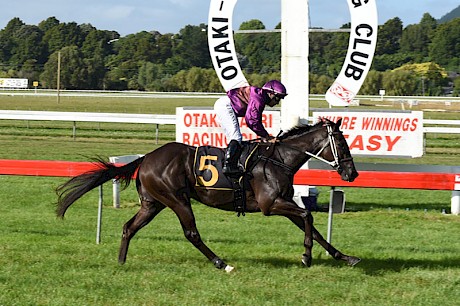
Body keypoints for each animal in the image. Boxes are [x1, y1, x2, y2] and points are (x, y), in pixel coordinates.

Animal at [56, 119, 360, 272]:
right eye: (342, 143)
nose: (352, 173)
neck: (279, 159)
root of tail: (146, 158)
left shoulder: (283, 202)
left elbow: (313, 227)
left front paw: (345, 257)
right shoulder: (270, 204)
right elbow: (308, 215)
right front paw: (306, 257)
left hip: (153, 203)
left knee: (129, 227)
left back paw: (121, 262)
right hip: (177, 199)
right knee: (192, 233)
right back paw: (221, 263)